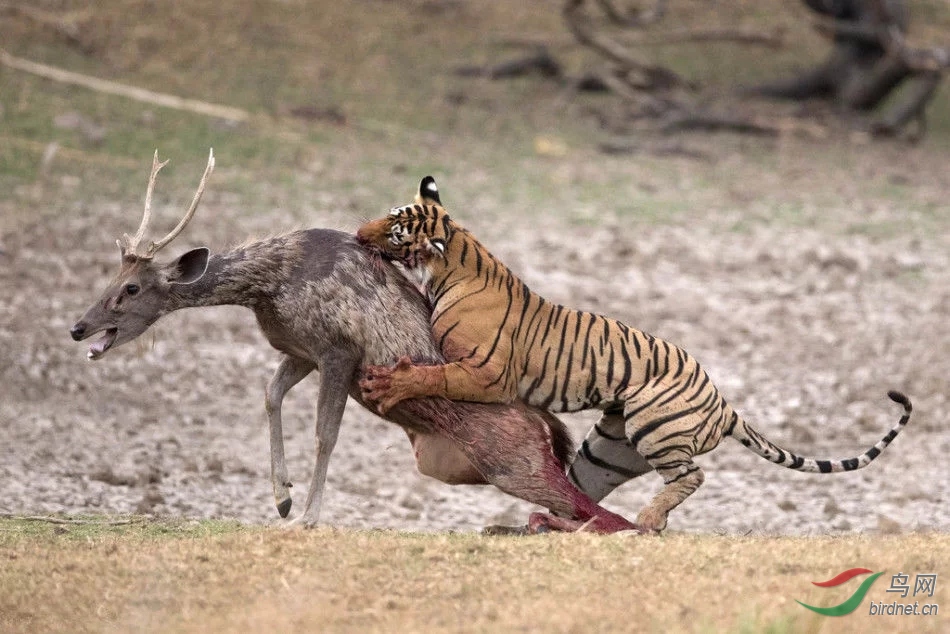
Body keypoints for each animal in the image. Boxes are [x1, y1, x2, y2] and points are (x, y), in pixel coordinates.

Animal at [356, 178, 916, 532]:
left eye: (395, 229)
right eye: (389, 214)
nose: (359, 235)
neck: (450, 264)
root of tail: (723, 403)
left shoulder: (488, 374)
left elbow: (435, 376)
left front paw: (392, 383)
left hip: (653, 427)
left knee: (691, 475)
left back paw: (648, 519)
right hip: (607, 449)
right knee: (582, 496)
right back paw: (553, 524)